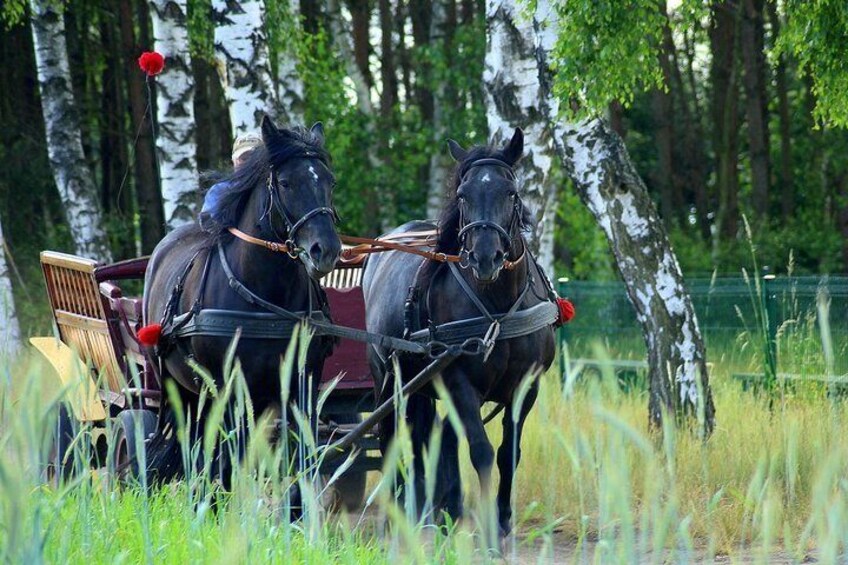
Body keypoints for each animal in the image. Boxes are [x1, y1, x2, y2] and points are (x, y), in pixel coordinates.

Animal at [143, 118, 342, 484]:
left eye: (329, 181)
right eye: (286, 183)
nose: (326, 250)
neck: (265, 299)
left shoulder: (302, 382)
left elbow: (301, 454)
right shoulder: (228, 387)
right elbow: (228, 457)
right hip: (180, 389)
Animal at [362, 128, 556, 536]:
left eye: (510, 192)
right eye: (463, 195)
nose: (485, 257)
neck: (497, 306)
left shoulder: (526, 386)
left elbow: (508, 453)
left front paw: (501, 519)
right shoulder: (459, 381)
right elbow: (481, 451)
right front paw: (486, 528)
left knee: (436, 435)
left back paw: (440, 508)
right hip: (388, 376)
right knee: (391, 435)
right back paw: (399, 511)